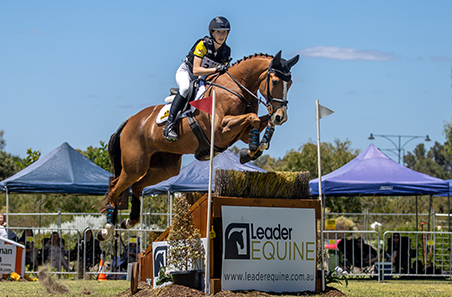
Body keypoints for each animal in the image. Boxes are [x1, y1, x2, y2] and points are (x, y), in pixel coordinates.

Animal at [96, 50, 298, 240]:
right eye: (275, 82)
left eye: (290, 84)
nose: (281, 116)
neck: (236, 88)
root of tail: (130, 120)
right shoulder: (221, 129)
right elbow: (253, 118)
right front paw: (252, 150)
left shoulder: (240, 132)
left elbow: (260, 121)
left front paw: (254, 148)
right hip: (135, 166)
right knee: (114, 187)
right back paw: (106, 230)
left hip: (165, 168)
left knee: (137, 187)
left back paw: (129, 221)